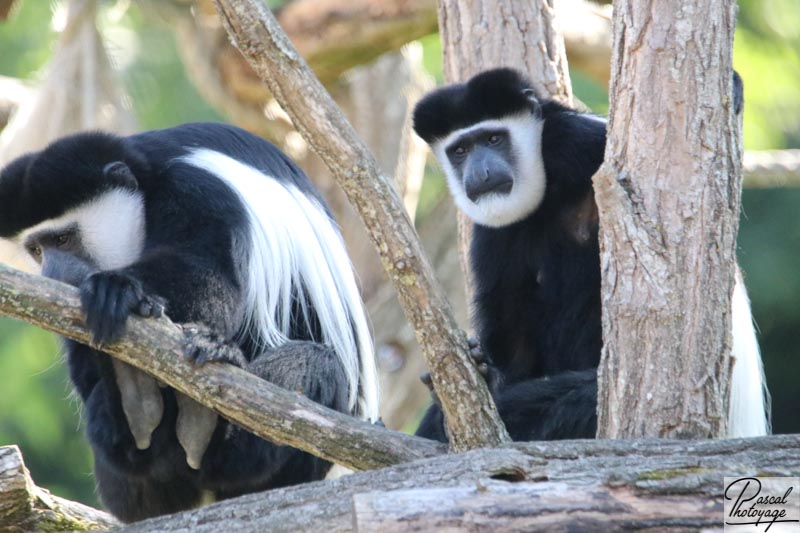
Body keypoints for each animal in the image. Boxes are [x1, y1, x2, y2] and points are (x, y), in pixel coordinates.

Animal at [0, 122, 380, 520]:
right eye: (36, 249)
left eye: (62, 238)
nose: (51, 274)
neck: (147, 180)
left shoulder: (198, 189)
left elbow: (209, 274)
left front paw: (118, 288)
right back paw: (135, 403)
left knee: (312, 367)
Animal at [412, 66, 768, 440]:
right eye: (460, 150)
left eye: (494, 139)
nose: (480, 172)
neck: (548, 186)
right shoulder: (494, 232)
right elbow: (513, 335)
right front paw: (486, 372)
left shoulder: (576, 140)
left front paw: (733, 87)